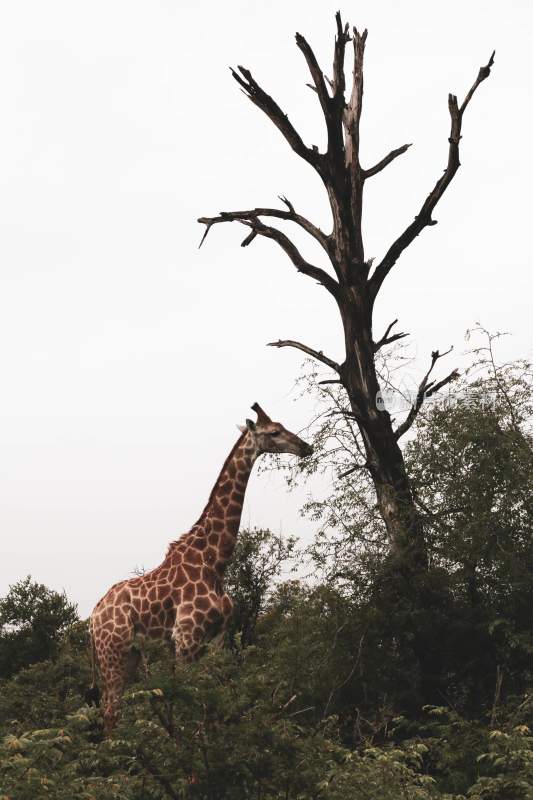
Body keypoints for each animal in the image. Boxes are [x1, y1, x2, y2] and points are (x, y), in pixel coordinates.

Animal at [88, 404, 312, 736]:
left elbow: (210, 702)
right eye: (274, 432)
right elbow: (185, 706)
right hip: (112, 652)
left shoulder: (218, 637)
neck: (215, 561)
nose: (305, 447)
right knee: (110, 710)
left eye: (282, 426)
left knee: (113, 708)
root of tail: (92, 618)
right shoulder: (186, 639)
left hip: (129, 654)